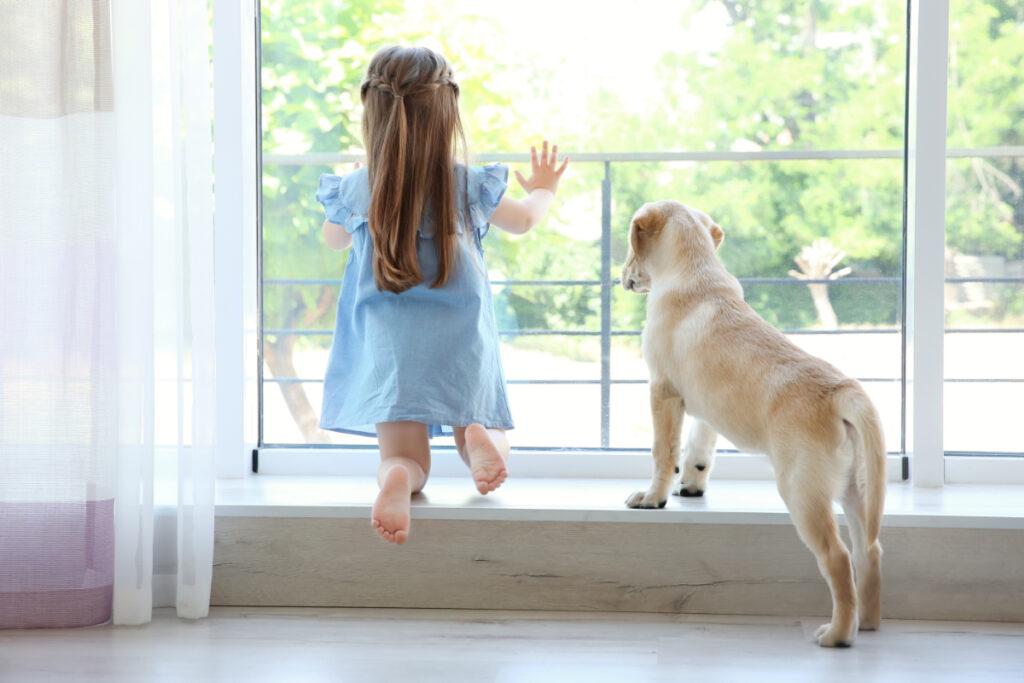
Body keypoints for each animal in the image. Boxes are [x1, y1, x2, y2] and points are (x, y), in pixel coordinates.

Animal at [618, 200, 884, 651]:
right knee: (870, 551)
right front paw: (691, 486)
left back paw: (837, 634)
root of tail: (842, 392)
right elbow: (699, 448)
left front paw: (654, 497)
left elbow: (663, 452)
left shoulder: (662, 390)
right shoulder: (706, 407)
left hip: (801, 491)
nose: (621, 277)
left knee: (838, 557)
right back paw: (867, 622)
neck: (697, 271)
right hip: (855, 490)